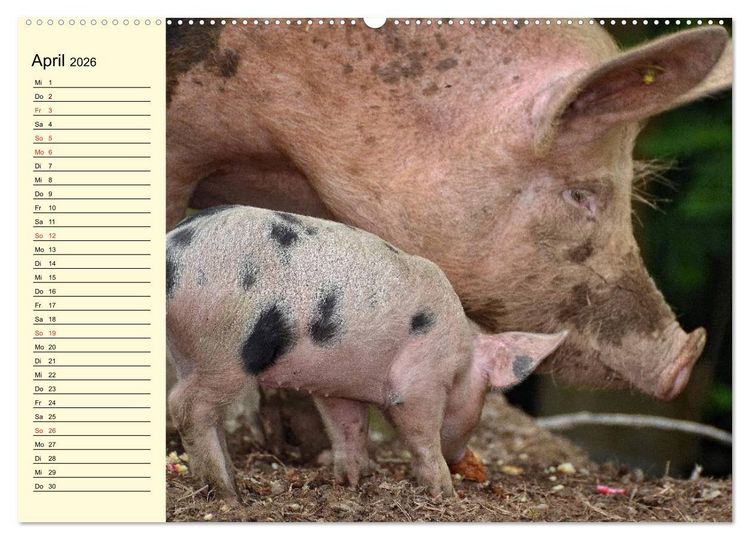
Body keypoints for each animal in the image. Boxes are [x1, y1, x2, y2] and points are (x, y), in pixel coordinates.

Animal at [166, 205, 566, 501]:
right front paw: (445, 493)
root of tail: (172, 252)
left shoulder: (338, 385)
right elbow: (421, 434)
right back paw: (229, 494)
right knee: (185, 406)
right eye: (483, 400)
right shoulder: (420, 382)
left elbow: (349, 428)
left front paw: (355, 481)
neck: (462, 356)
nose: (460, 460)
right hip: (224, 348)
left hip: (189, 351)